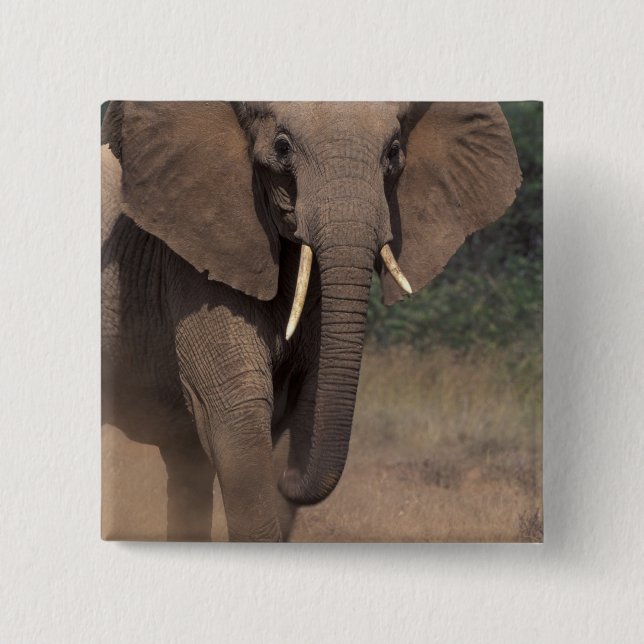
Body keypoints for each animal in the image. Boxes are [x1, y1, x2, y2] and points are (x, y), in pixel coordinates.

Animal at [101, 101, 521, 542]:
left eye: (393, 152)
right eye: (283, 148)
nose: (287, 478)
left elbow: (307, 402)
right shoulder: (192, 262)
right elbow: (236, 415)